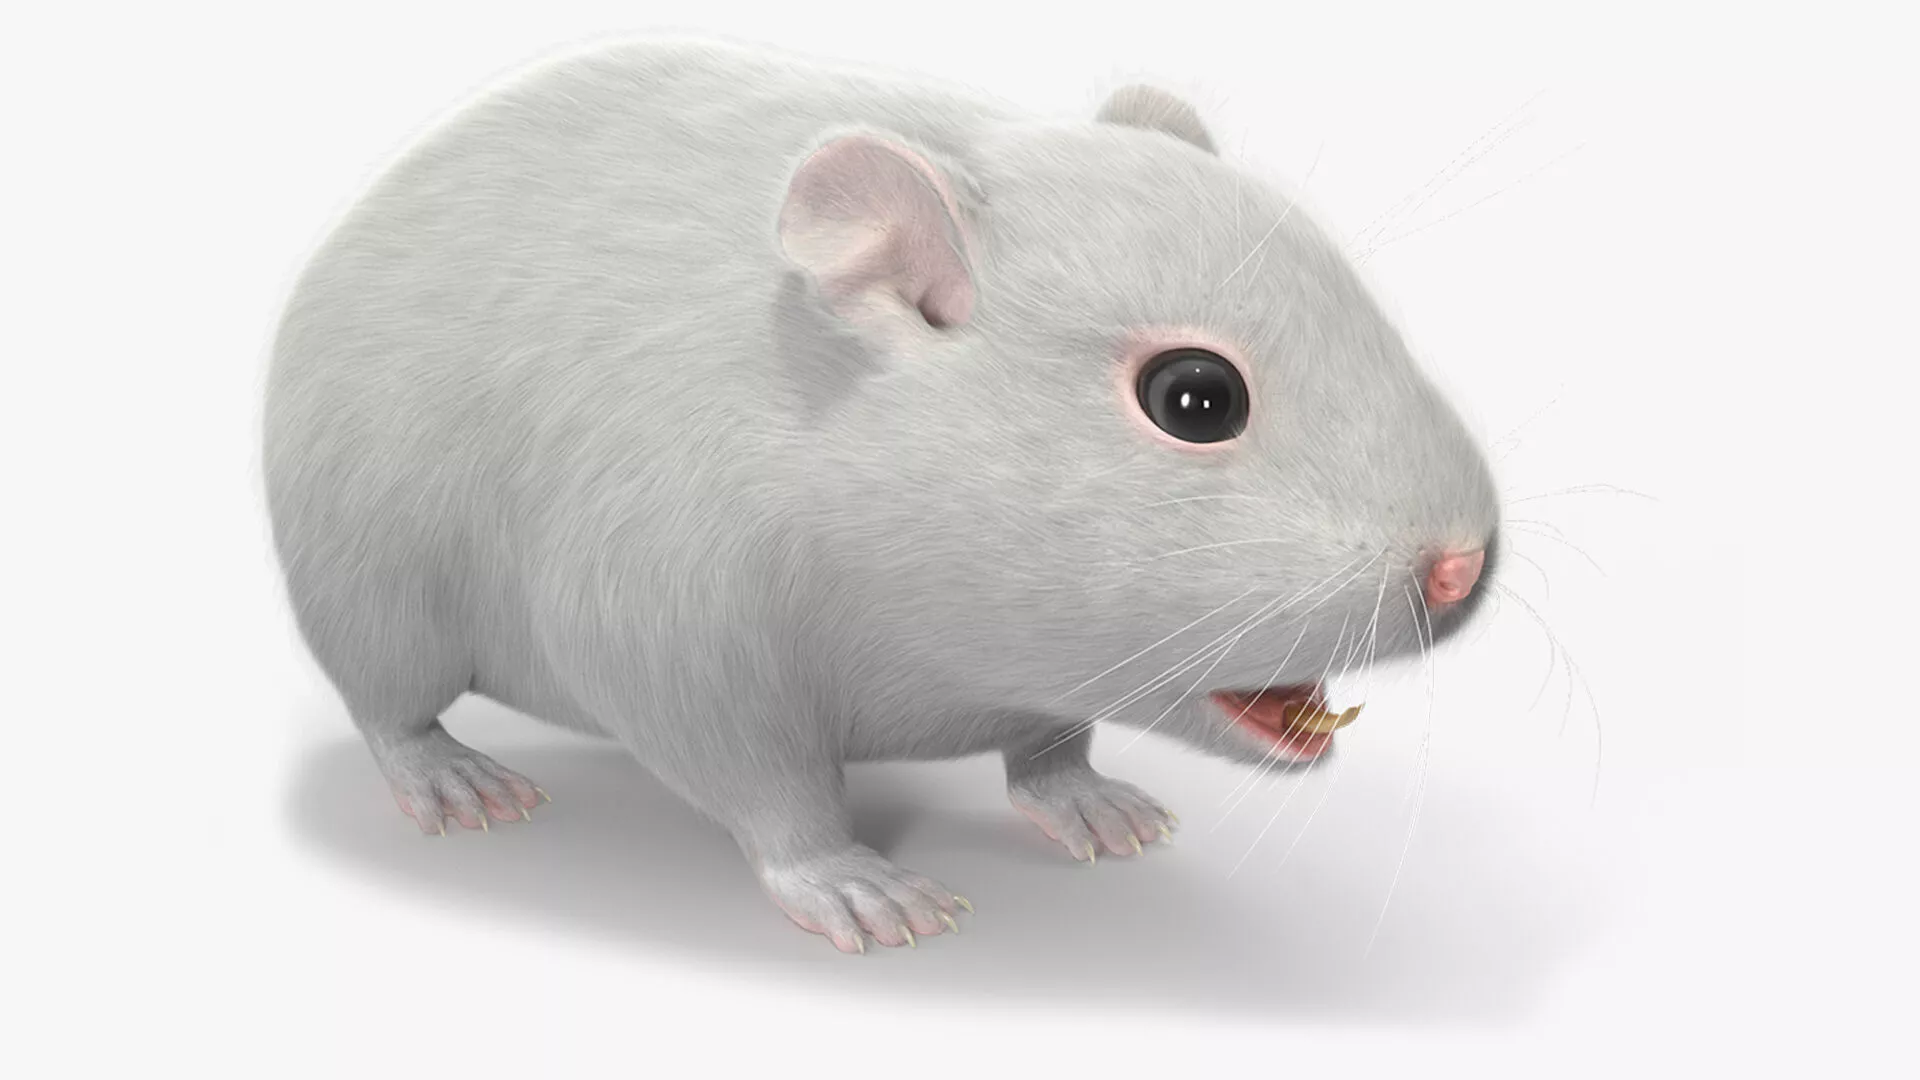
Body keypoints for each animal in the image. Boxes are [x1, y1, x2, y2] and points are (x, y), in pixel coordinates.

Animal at [263, 35, 1502, 953]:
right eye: (1194, 398)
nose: (1461, 566)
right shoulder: (669, 613)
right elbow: (758, 776)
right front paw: (855, 886)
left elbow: (1051, 745)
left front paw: (1087, 799)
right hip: (368, 586)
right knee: (386, 704)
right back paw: (451, 777)